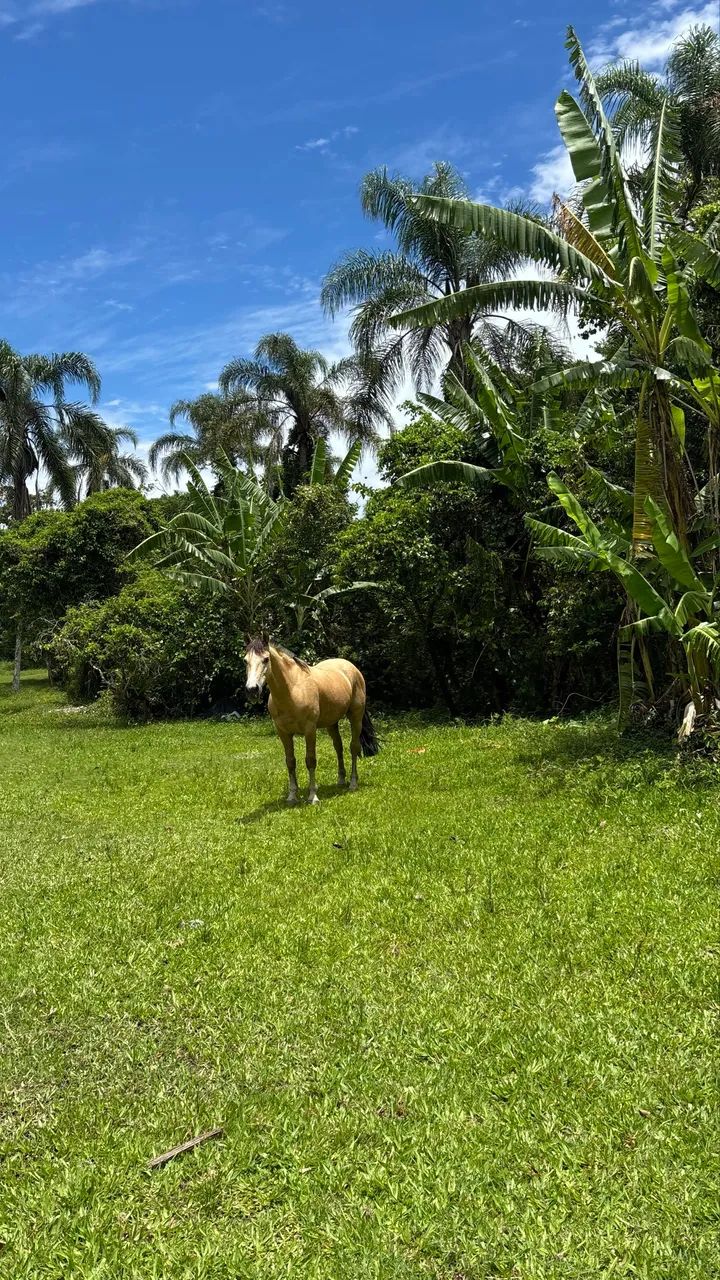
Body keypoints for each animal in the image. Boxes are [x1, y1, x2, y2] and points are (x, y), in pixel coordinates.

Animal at [244, 637, 379, 805]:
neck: (292, 689)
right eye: (245, 660)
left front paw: (313, 796)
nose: (252, 689)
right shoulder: (283, 733)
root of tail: (352, 668)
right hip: (331, 724)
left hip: (355, 717)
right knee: (338, 747)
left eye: (266, 659)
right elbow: (290, 761)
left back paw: (353, 784)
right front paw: (292, 796)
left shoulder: (310, 730)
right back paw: (341, 780)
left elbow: (310, 760)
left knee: (354, 747)